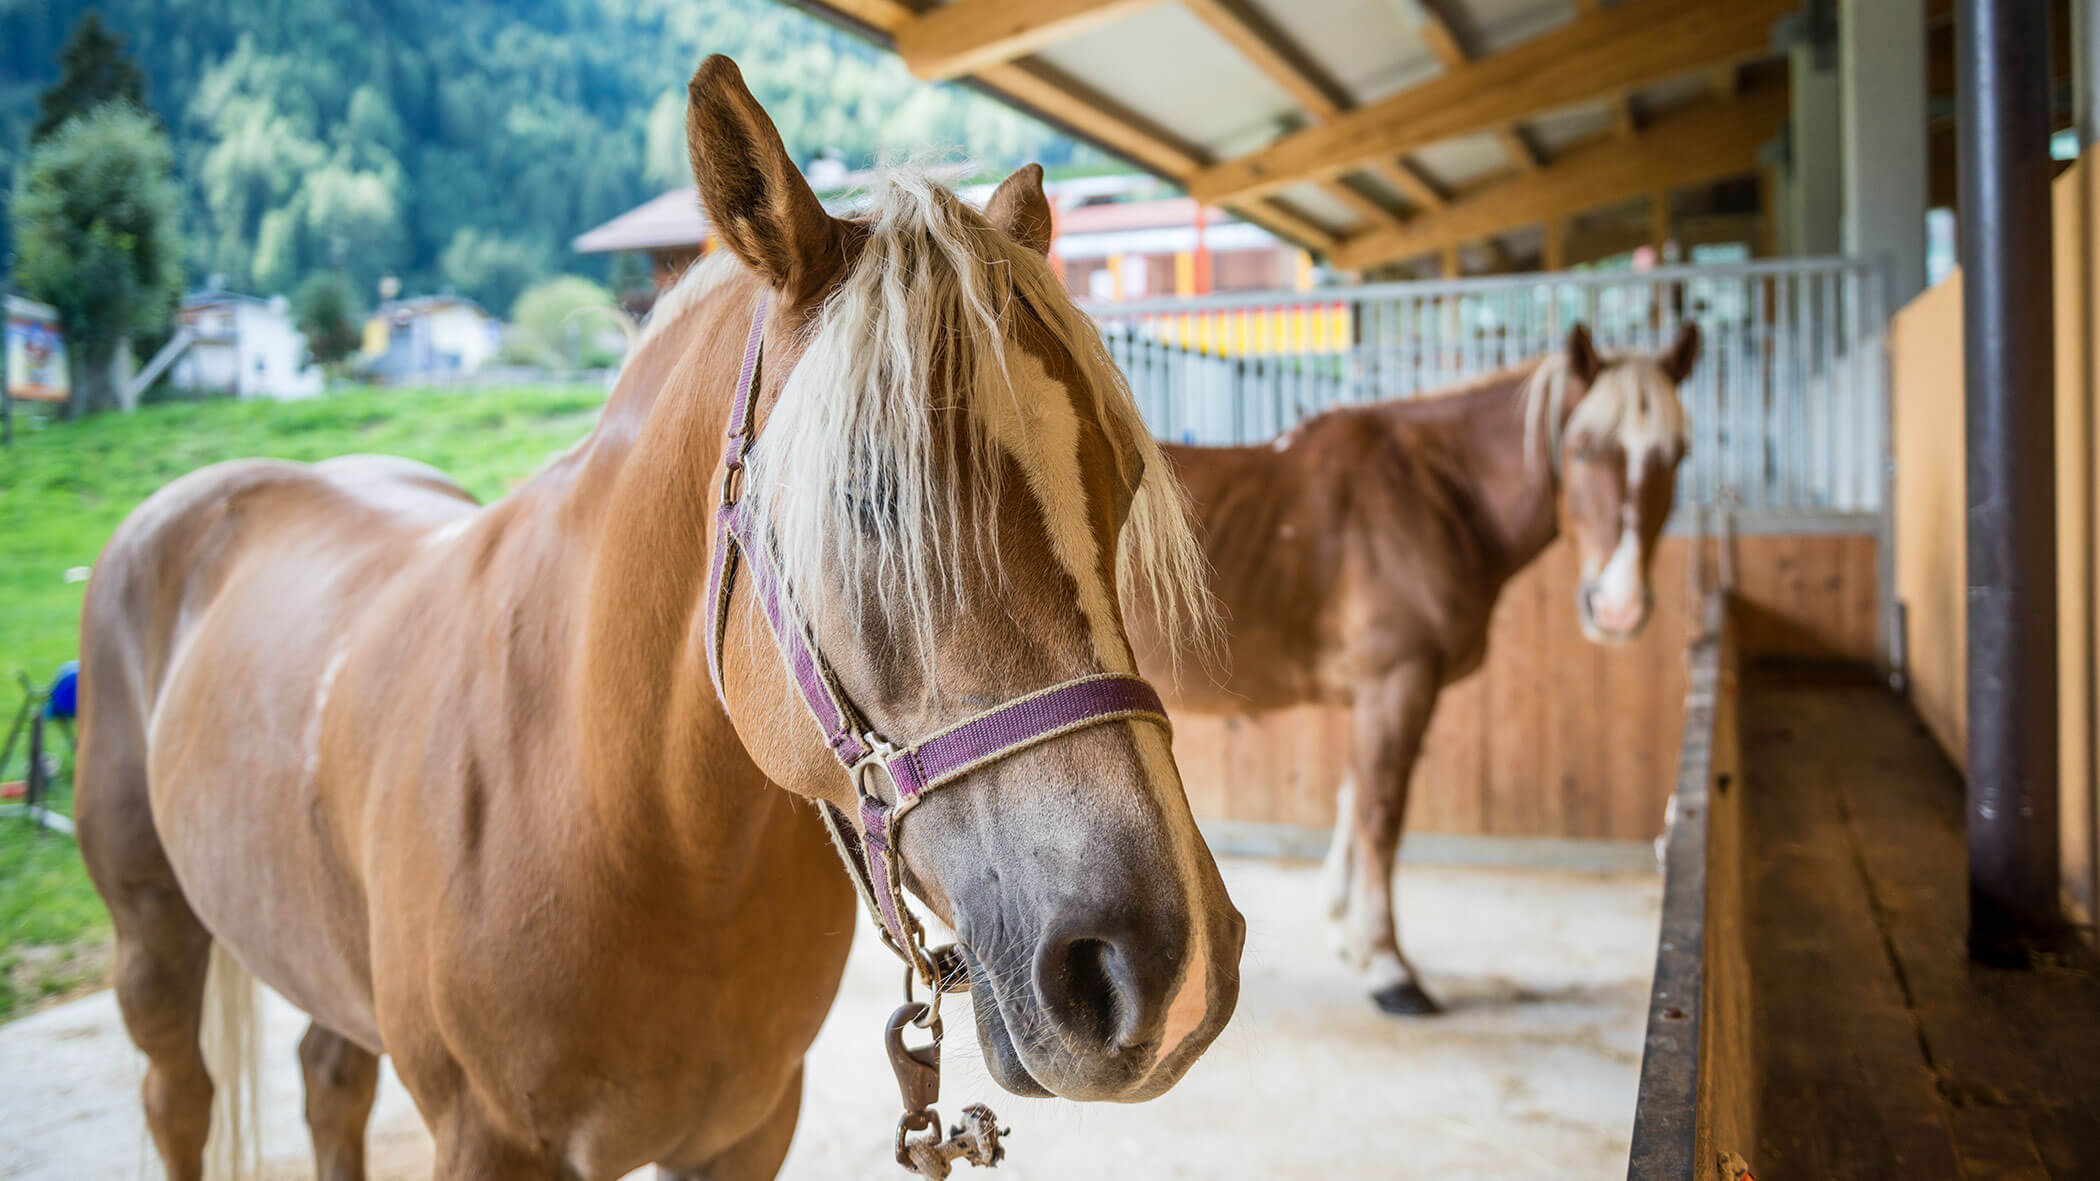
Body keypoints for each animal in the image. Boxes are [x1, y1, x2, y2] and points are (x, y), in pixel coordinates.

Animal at [74, 56, 1242, 1180]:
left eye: (1123, 485)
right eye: (869, 492)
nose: (1162, 963)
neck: (631, 818)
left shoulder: (745, 1130)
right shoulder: (485, 1140)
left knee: (329, 1079)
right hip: (152, 941)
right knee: (179, 1100)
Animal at [1131, 323, 1697, 1015]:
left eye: (1678, 455)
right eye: (1585, 448)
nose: (1619, 607)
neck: (1432, 494)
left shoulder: (1380, 694)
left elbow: (1354, 797)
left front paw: (1349, 937)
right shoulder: (1399, 682)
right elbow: (1381, 814)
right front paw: (1388, 967)